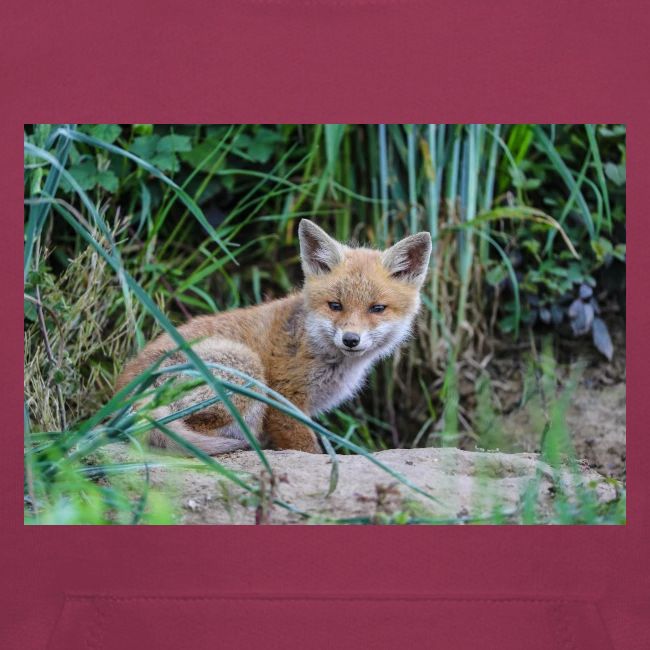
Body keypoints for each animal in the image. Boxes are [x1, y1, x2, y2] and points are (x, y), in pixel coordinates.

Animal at [116, 219, 432, 455]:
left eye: (377, 308)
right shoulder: (284, 400)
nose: (351, 339)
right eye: (335, 305)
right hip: (246, 369)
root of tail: (124, 394)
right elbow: (307, 449)